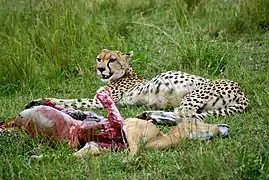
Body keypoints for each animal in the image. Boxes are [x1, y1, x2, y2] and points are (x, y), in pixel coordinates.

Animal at [24, 49, 247, 121]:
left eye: (112, 60)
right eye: (99, 58)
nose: (100, 69)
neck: (123, 73)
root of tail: (241, 88)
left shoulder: (100, 101)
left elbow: (71, 101)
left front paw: (40, 102)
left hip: (192, 95)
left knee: (184, 114)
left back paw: (151, 116)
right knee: (188, 115)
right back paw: (150, 114)